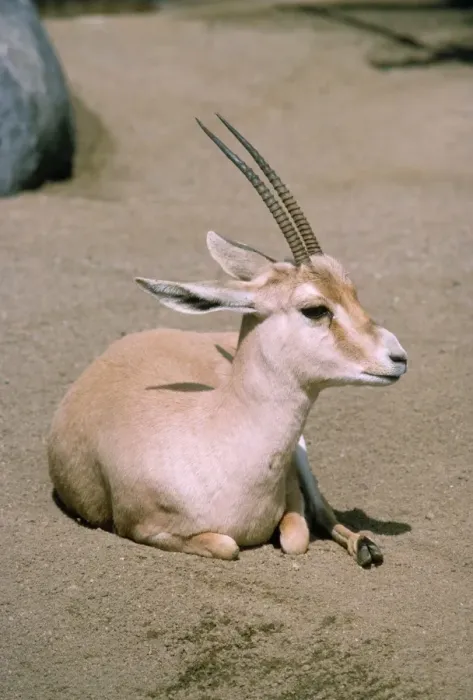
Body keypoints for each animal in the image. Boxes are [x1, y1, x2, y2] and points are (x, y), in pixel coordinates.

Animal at [48, 115, 407, 567]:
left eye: (352, 290)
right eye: (314, 309)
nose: (397, 357)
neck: (215, 436)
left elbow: (297, 536)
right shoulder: (145, 528)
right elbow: (228, 544)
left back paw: (366, 546)